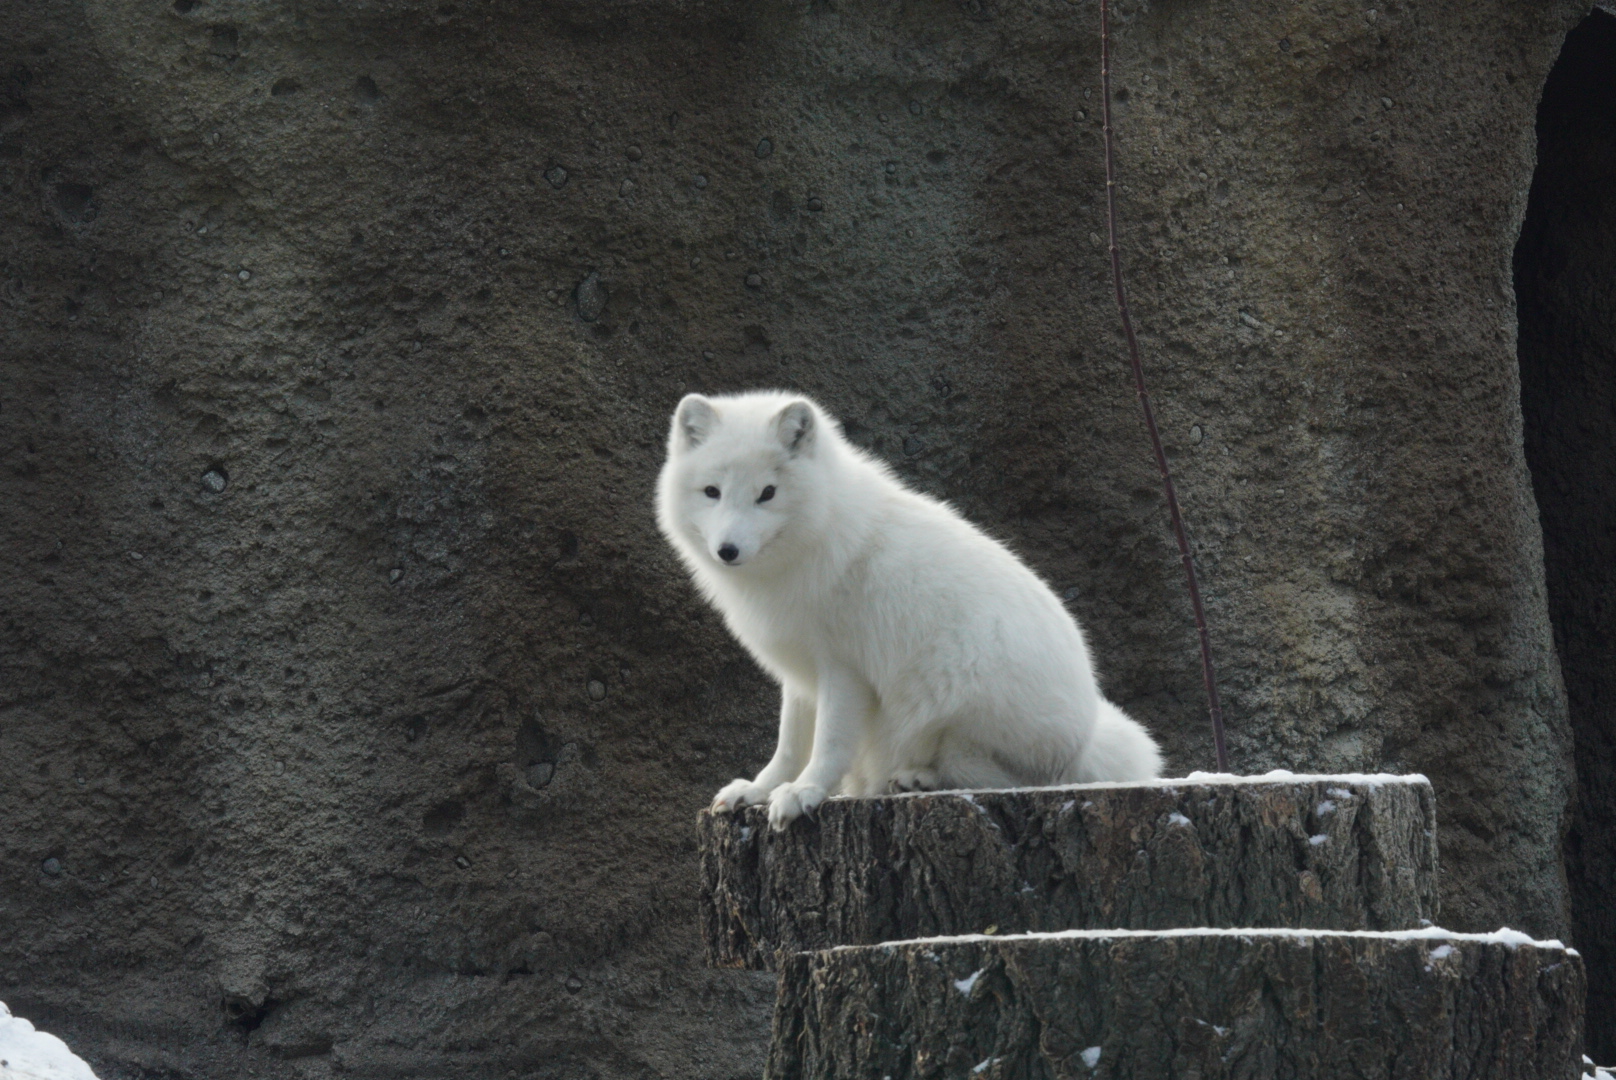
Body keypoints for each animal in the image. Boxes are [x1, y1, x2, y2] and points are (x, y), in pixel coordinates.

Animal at [655, 390, 1163, 829]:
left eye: (767, 493)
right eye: (712, 492)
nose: (728, 550)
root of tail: (1087, 734)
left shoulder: (844, 671)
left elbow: (828, 743)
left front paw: (805, 793)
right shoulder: (800, 674)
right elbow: (789, 746)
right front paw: (762, 790)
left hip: (960, 695)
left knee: (1016, 779)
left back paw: (920, 778)